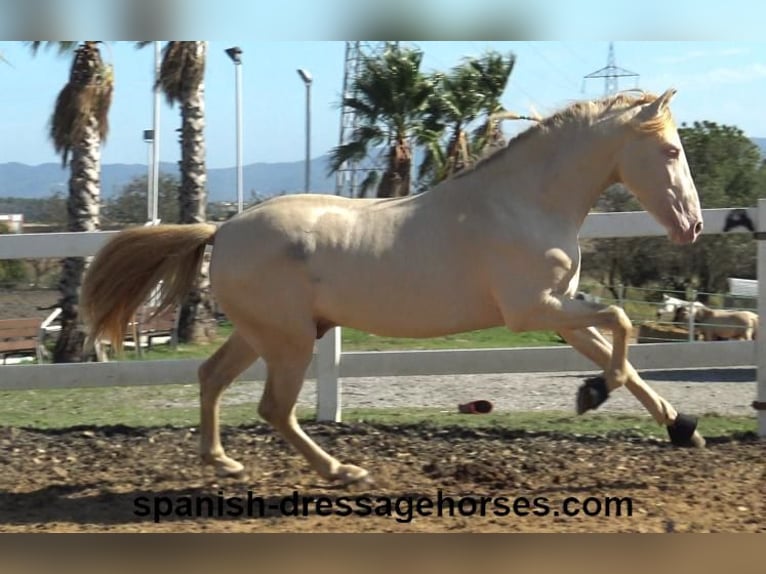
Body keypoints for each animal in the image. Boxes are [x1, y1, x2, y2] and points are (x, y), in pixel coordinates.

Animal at [82, 89, 708, 486]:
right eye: (671, 150)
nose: (694, 227)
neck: (525, 204)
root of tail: (221, 229)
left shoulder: (559, 312)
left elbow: (622, 358)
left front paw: (679, 427)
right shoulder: (534, 311)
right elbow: (622, 327)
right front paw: (592, 395)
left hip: (263, 334)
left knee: (212, 378)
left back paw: (223, 463)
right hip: (289, 340)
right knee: (274, 408)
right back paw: (341, 471)